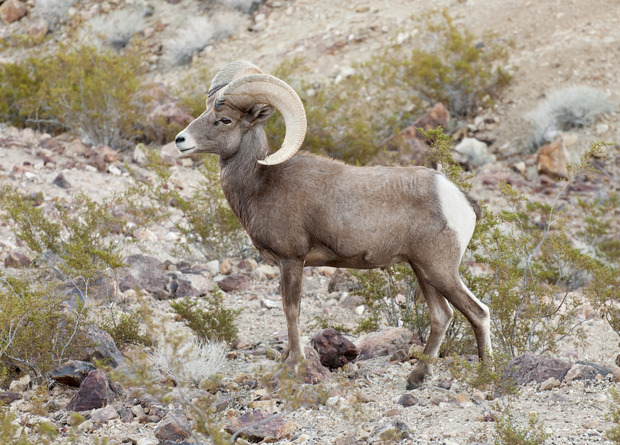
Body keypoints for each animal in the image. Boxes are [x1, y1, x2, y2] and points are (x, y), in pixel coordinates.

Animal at [174, 60, 490, 386]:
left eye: (224, 120)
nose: (180, 140)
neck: (261, 182)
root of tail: (459, 199)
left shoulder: (292, 260)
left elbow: (291, 310)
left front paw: (293, 365)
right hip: (422, 270)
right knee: (442, 315)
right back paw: (417, 377)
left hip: (440, 270)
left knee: (478, 313)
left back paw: (486, 373)